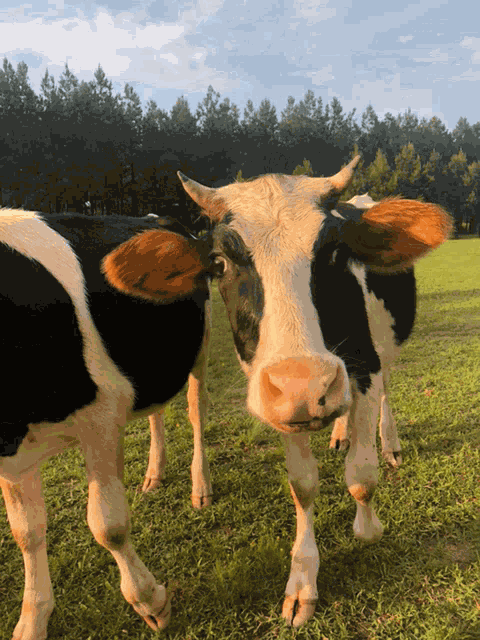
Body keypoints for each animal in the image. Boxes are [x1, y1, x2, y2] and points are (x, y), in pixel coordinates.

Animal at [0, 211, 212, 639]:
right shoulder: (10, 452)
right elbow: (26, 532)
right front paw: (32, 619)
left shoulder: (100, 418)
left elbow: (107, 525)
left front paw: (149, 601)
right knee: (155, 411)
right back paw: (154, 473)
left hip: (200, 344)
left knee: (196, 410)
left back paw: (200, 486)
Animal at [100, 155, 451, 628]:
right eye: (219, 263)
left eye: (335, 253)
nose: (307, 383)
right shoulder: (281, 403)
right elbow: (303, 485)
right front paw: (303, 581)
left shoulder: (366, 368)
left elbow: (362, 476)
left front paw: (368, 528)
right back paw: (338, 432)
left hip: (386, 347)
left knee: (386, 397)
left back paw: (389, 442)